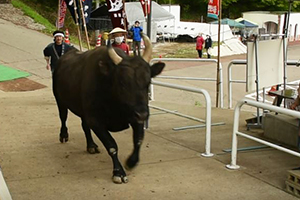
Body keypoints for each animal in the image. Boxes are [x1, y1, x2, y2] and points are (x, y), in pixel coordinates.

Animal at [51, 35, 164, 183]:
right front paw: (118, 172)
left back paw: (91, 145)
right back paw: (64, 135)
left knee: (84, 125)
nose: (143, 114)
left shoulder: (134, 117)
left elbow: (138, 139)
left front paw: (131, 162)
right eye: (122, 83)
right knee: (63, 117)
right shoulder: (96, 121)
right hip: (60, 100)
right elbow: (112, 146)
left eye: (148, 82)